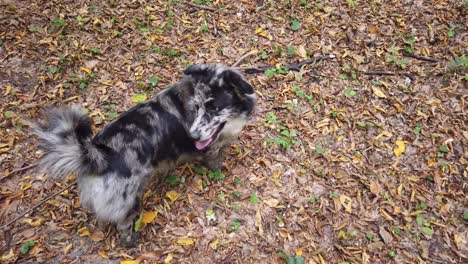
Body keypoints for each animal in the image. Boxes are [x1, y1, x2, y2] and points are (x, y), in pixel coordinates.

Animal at [33, 64, 256, 245]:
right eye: (197, 106)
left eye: (214, 107)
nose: (192, 136)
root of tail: (98, 154)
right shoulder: (211, 146)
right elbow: (215, 159)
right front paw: (220, 169)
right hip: (130, 200)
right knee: (123, 225)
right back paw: (131, 241)